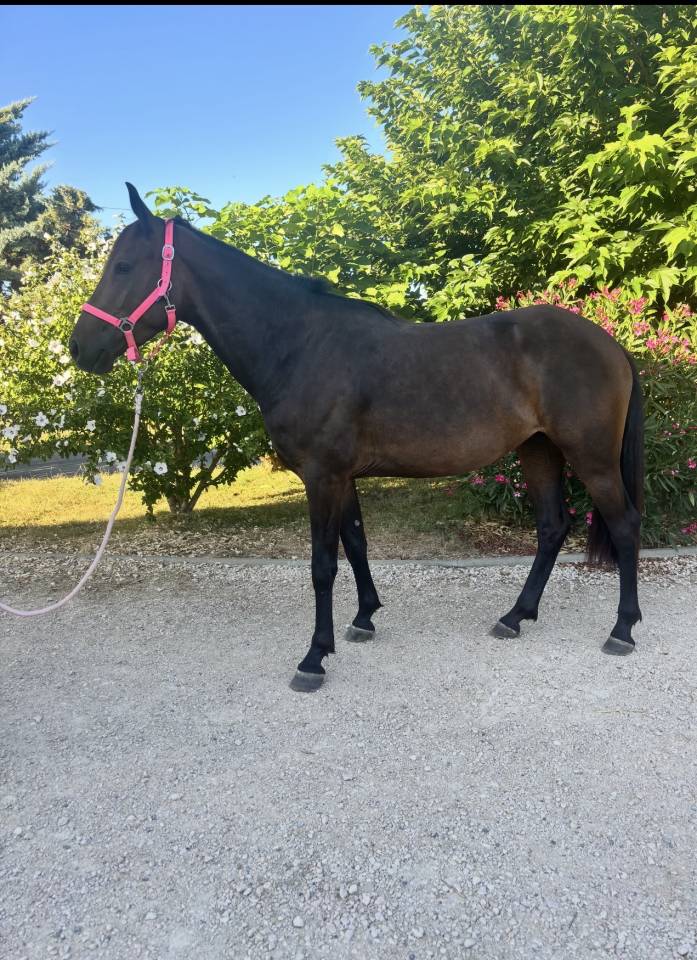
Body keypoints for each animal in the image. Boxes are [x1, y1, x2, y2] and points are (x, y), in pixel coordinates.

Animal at [69, 184, 644, 691]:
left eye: (124, 267)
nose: (79, 348)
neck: (300, 344)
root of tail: (610, 342)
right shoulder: (340, 475)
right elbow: (356, 542)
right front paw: (363, 619)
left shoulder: (322, 476)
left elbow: (323, 564)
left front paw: (313, 658)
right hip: (538, 449)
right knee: (552, 527)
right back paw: (515, 616)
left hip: (590, 456)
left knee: (624, 525)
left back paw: (622, 630)